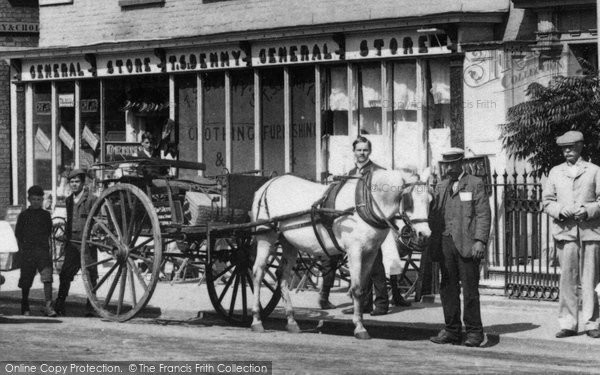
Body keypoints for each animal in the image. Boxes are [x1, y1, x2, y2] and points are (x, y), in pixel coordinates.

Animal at [248, 170, 432, 340]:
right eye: (409, 201)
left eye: (430, 200)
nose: (425, 235)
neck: (365, 204)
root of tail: (268, 184)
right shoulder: (354, 250)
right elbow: (356, 289)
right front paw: (359, 328)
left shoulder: (371, 252)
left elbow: (363, 288)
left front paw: (360, 321)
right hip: (266, 236)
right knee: (258, 273)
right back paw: (257, 320)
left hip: (288, 242)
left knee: (283, 276)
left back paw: (292, 321)